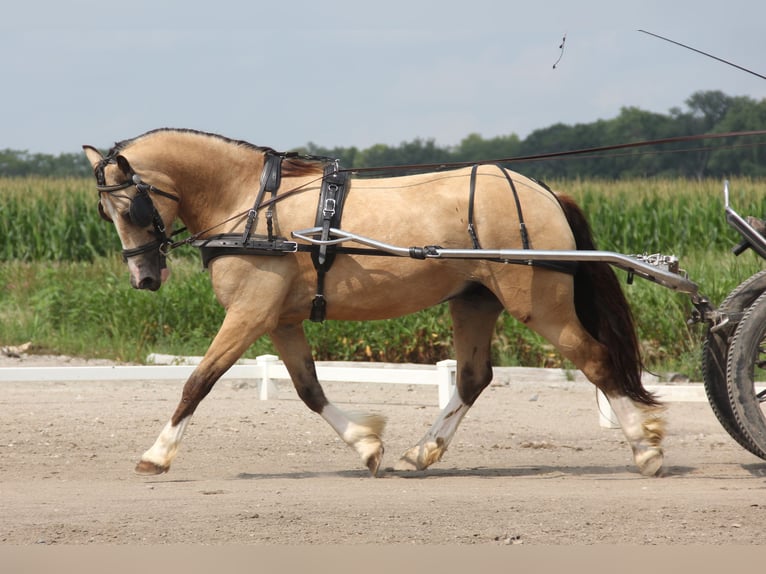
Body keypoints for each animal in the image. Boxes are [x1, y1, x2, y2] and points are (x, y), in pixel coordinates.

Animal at [82, 128, 664, 480]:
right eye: (106, 212)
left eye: (131, 207)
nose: (144, 278)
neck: (253, 203)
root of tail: (541, 191)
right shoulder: (280, 320)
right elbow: (309, 390)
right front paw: (367, 446)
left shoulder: (249, 314)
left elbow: (198, 381)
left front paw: (157, 453)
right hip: (475, 303)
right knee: (473, 378)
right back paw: (420, 453)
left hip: (540, 306)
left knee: (595, 360)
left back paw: (646, 448)